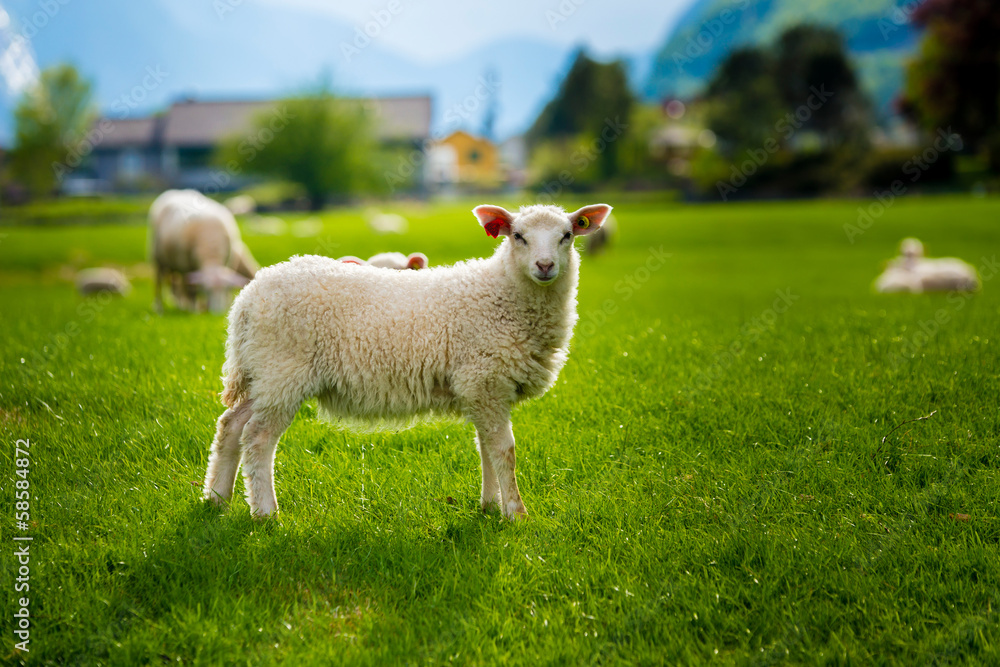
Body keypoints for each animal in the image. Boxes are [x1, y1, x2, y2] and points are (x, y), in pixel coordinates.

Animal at [202, 202, 613, 520]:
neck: (502, 295)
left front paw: (490, 507)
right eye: (518, 236)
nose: (545, 266)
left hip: (263, 373)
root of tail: (246, 299)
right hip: (283, 371)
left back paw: (216, 499)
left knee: (231, 425)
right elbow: (504, 451)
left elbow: (485, 448)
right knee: (258, 437)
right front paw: (516, 513)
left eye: (567, 236)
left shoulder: (483, 390)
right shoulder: (485, 380)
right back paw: (265, 512)